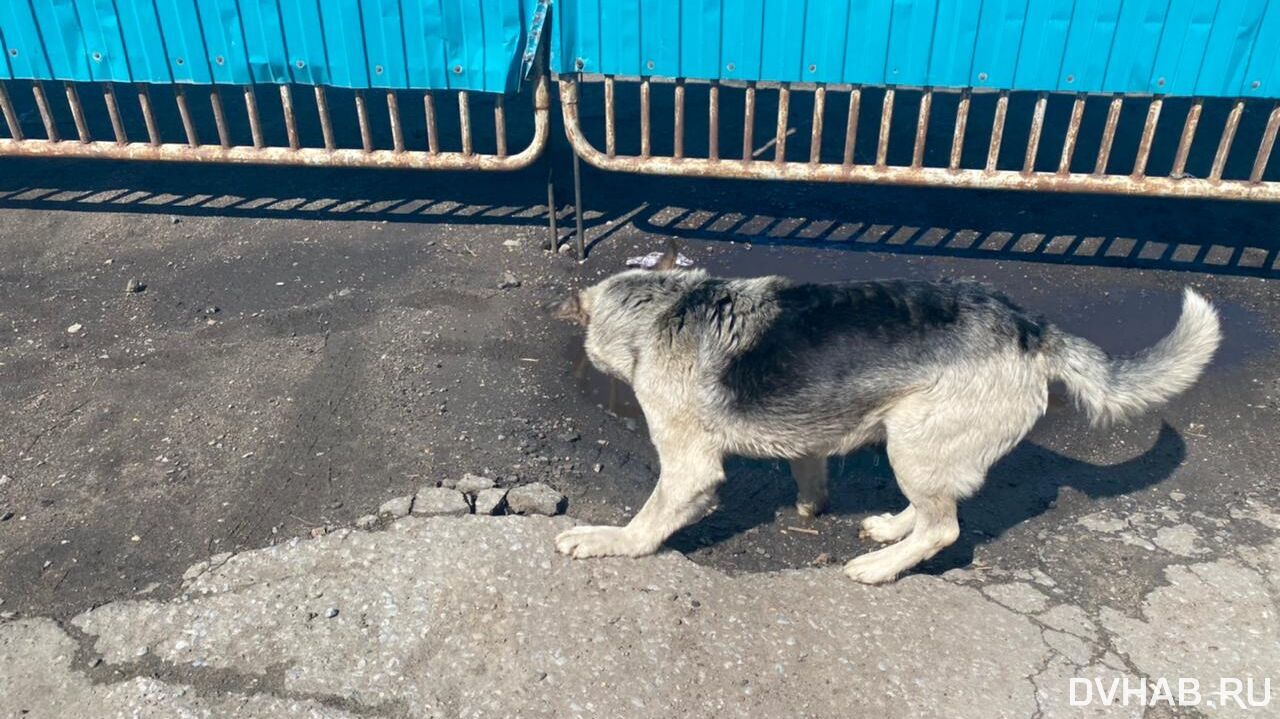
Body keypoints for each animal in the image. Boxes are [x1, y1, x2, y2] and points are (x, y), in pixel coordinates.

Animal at [550, 243, 1218, 578]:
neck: (667, 307)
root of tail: (1031, 329)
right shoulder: (810, 434)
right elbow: (809, 467)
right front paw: (810, 506)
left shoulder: (690, 469)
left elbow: (649, 520)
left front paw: (612, 542)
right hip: (916, 445)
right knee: (931, 511)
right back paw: (894, 527)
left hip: (913, 438)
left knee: (944, 527)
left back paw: (879, 567)